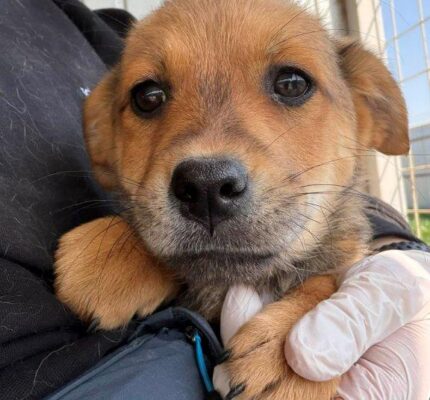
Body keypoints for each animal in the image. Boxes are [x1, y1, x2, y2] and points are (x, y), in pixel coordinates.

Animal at [54, 0, 409, 398]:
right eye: (147, 96)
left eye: (292, 83)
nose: (205, 187)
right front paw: (111, 256)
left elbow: (327, 279)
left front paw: (284, 354)